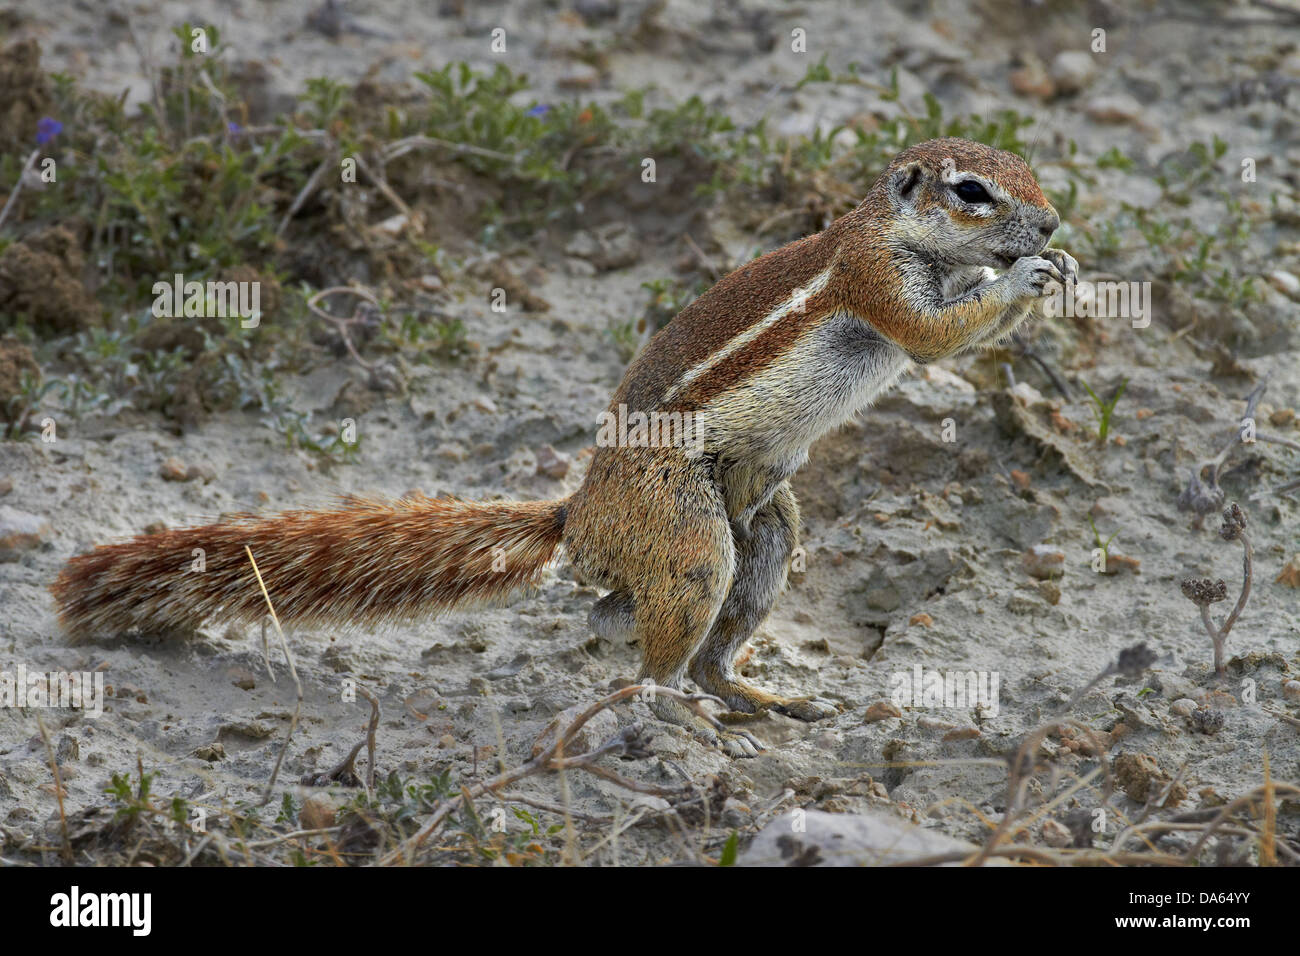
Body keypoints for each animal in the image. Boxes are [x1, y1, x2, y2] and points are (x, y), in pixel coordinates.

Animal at [50, 138, 1076, 759]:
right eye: (973, 192)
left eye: (1029, 168)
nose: (1055, 223)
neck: (896, 230)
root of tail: (580, 513)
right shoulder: (876, 279)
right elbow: (935, 334)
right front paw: (1026, 273)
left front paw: (1055, 269)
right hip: (686, 531)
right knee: (654, 660)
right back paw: (682, 712)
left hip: (765, 523)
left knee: (675, 624)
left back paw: (761, 700)